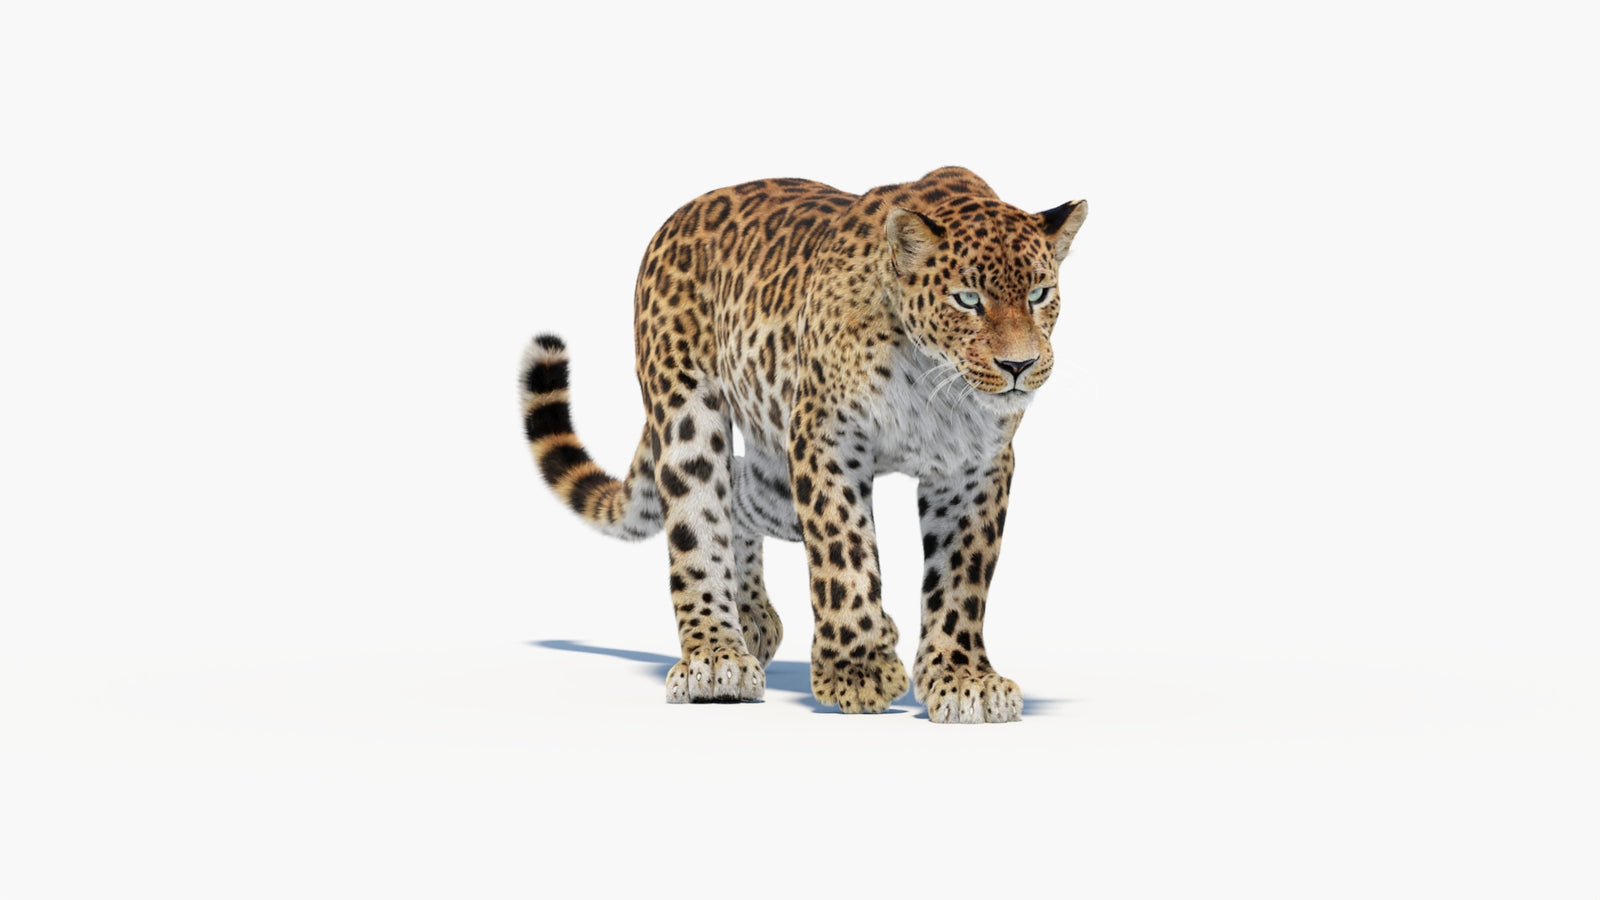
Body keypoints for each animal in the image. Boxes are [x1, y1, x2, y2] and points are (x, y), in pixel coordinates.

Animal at [519, 166, 1087, 723]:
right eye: (967, 300)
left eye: (1039, 295)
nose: (1019, 366)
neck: (934, 378)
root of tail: (678, 217)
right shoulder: (825, 436)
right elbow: (844, 551)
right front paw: (857, 671)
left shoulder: (974, 467)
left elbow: (961, 578)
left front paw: (963, 678)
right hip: (687, 412)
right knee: (699, 523)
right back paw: (716, 657)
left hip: (776, 478)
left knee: (737, 496)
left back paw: (753, 619)